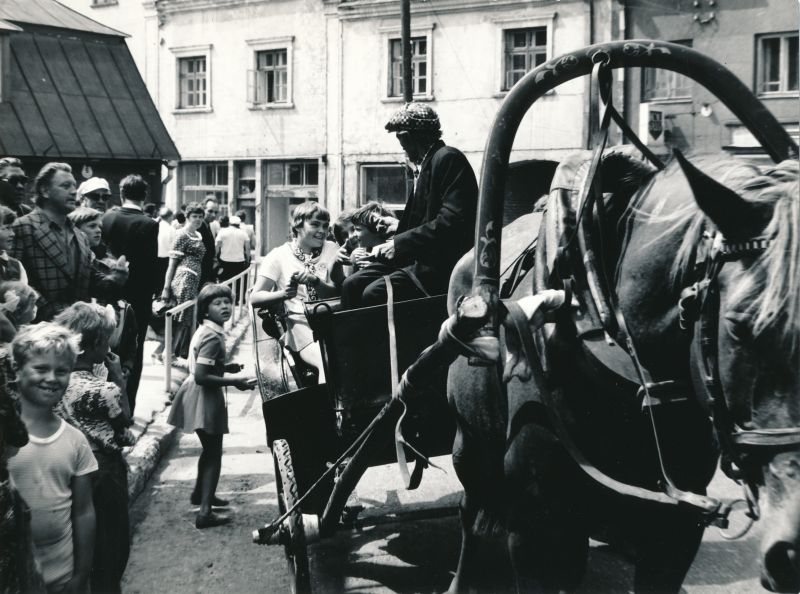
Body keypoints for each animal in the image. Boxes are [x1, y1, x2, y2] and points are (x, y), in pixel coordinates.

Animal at [446, 147, 800, 588]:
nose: (791, 551)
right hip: (469, 446)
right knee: (471, 512)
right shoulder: (537, 530)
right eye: (738, 325)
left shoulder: (677, 530)